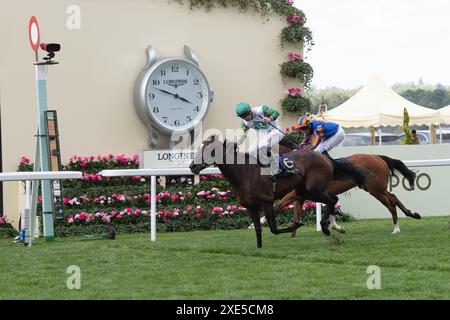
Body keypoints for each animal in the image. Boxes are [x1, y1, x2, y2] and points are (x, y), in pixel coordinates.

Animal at [188, 134, 368, 248]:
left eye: (209, 150)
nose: (192, 166)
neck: (244, 173)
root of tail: (324, 157)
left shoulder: (267, 201)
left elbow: (274, 229)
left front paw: (297, 224)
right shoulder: (251, 207)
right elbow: (258, 229)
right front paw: (259, 248)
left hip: (313, 190)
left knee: (331, 200)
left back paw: (325, 227)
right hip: (306, 191)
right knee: (333, 199)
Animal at [274, 140, 422, 235]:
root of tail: (377, 157)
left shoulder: (295, 194)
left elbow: (278, 206)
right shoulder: (301, 195)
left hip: (376, 190)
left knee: (391, 205)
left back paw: (396, 228)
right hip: (376, 188)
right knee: (393, 197)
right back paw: (411, 215)